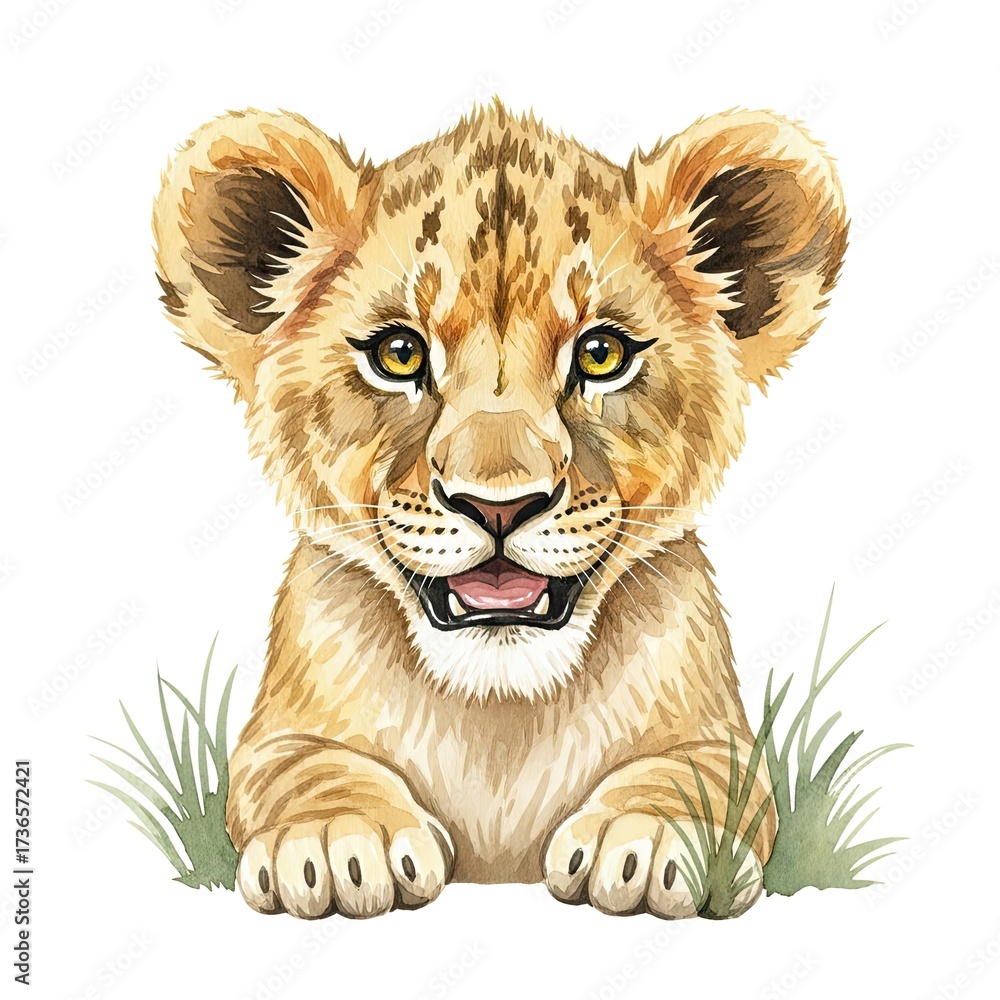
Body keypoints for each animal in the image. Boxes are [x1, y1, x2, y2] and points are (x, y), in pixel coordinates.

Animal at [153, 100, 846, 920]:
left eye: (603, 354)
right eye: (398, 354)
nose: (499, 507)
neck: (499, 714)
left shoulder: (722, 741)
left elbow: (693, 777)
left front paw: (649, 841)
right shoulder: (277, 734)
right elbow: (305, 770)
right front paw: (336, 838)